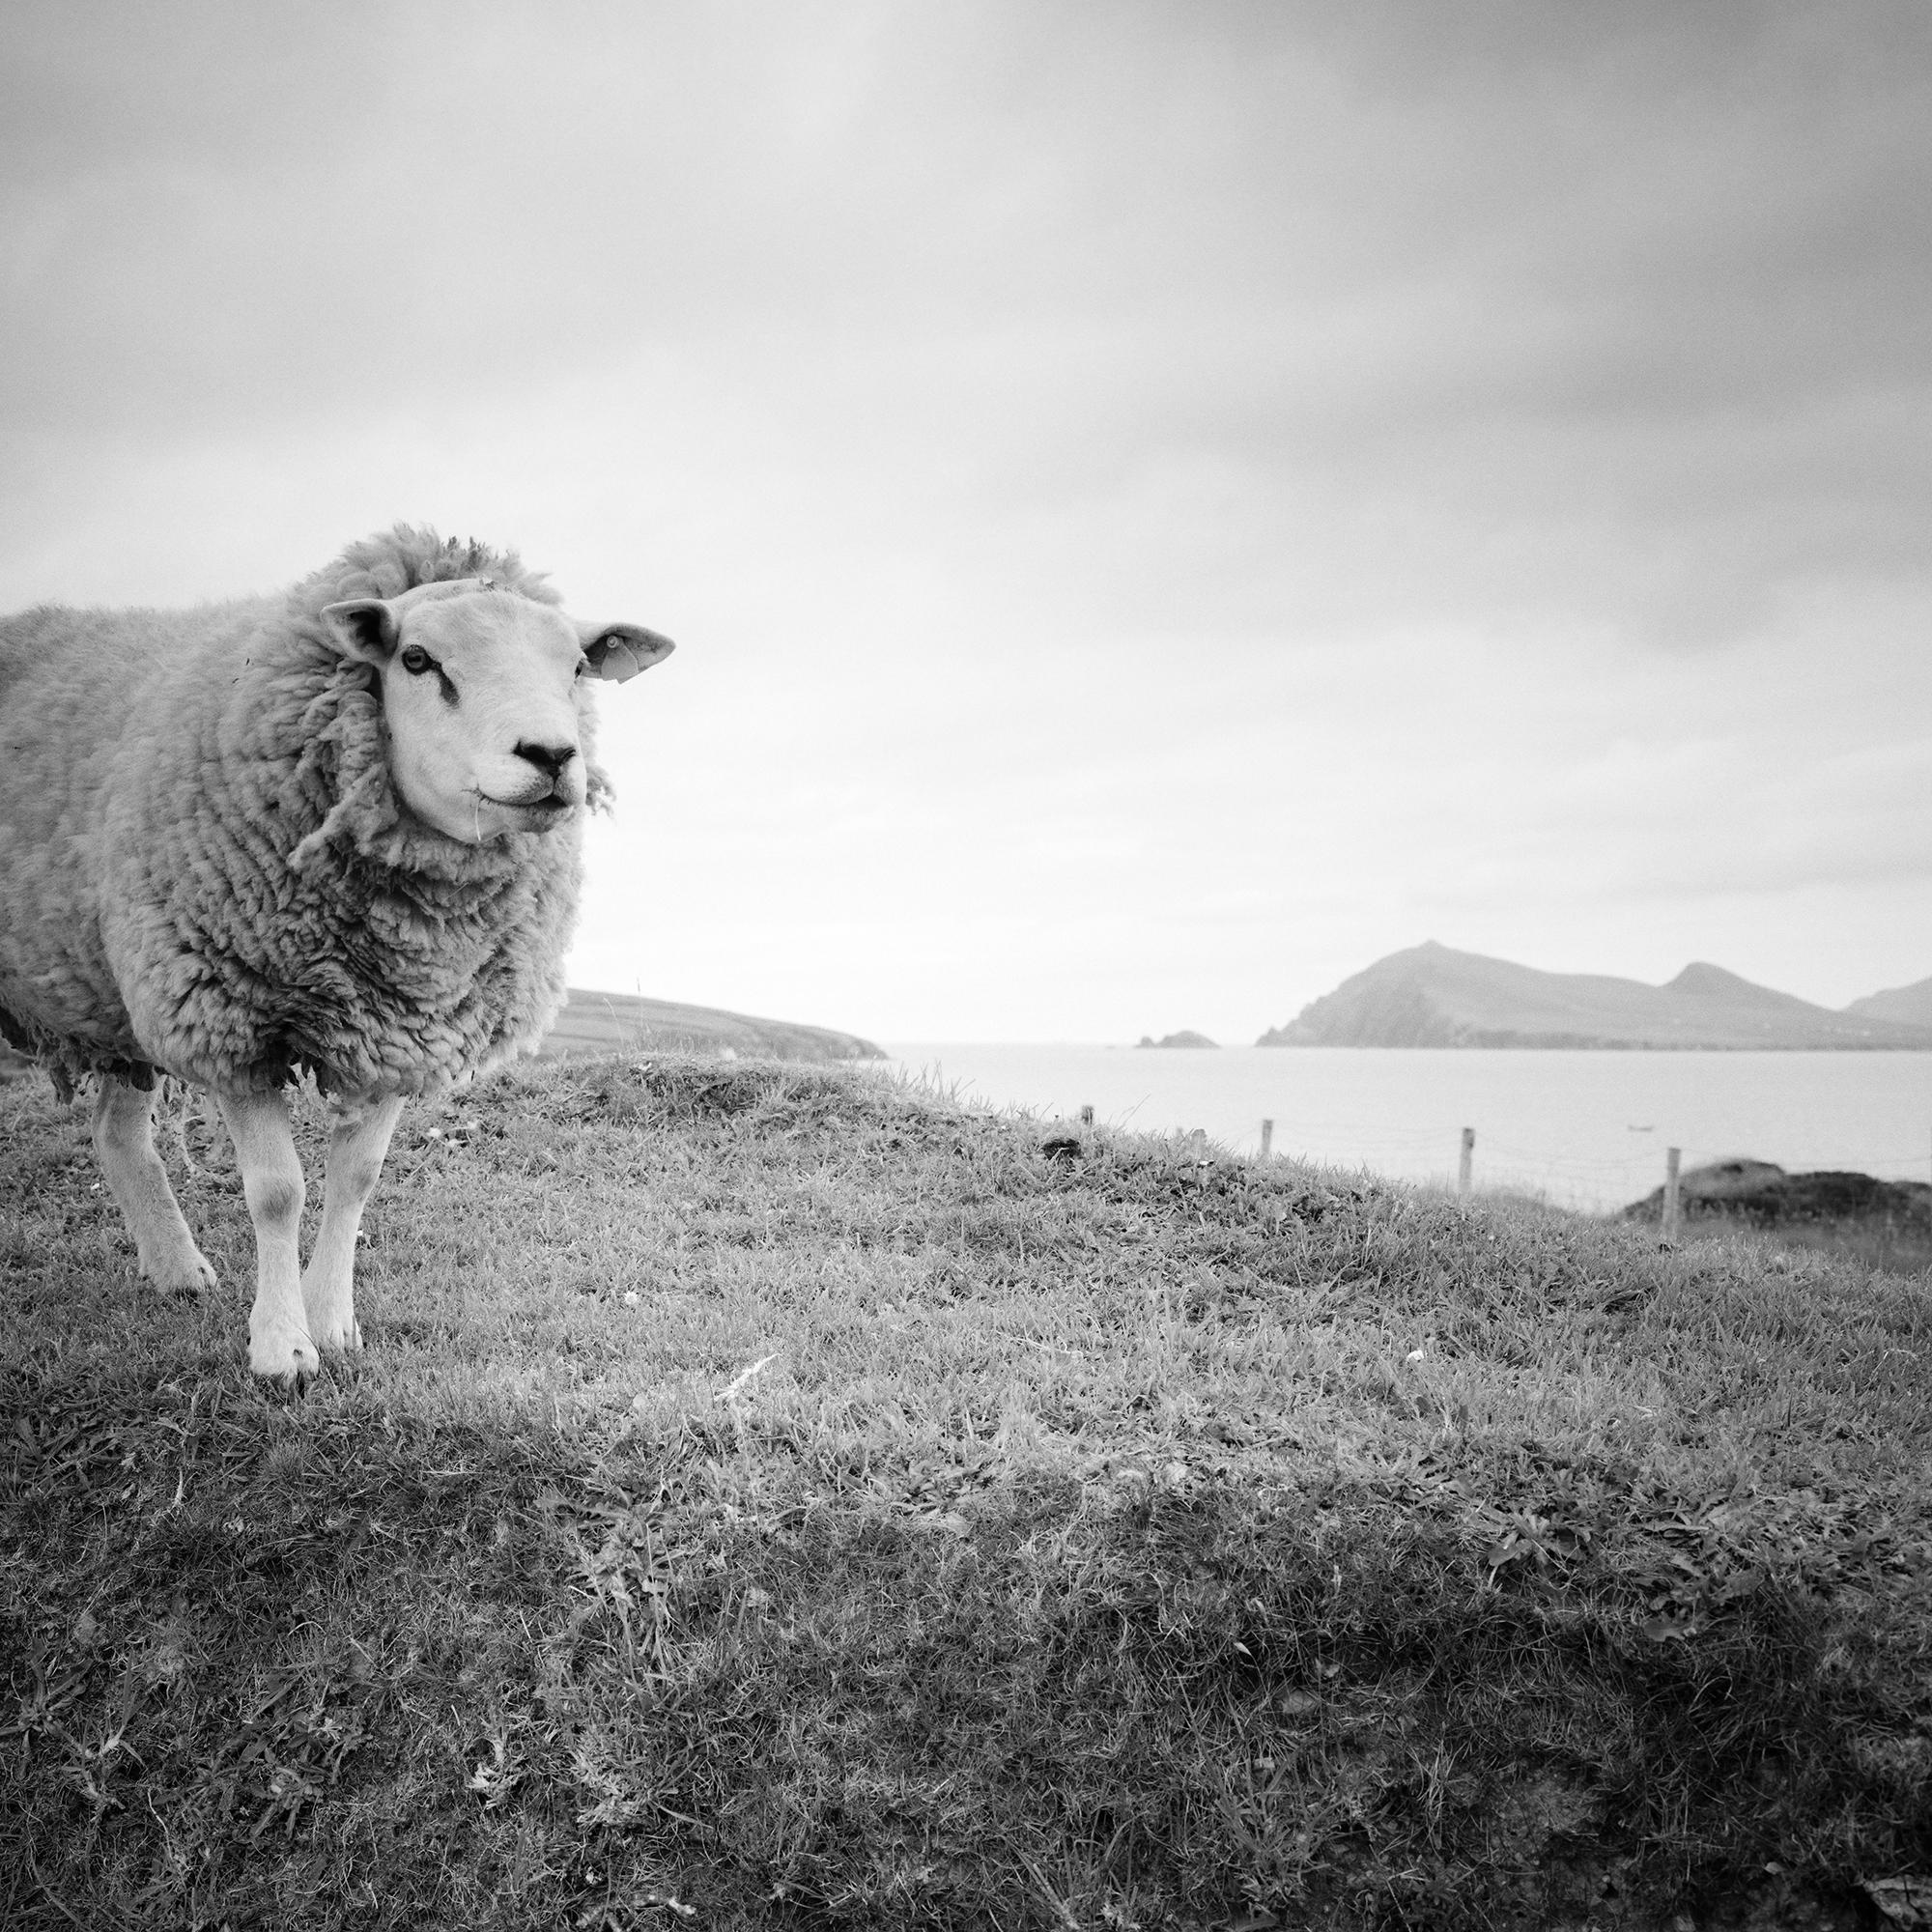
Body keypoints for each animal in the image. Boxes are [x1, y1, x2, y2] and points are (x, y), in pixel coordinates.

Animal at [0, 525, 674, 1381]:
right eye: (416, 659)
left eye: (580, 666)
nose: (552, 756)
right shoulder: (231, 1017)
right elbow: (278, 1191)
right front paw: (282, 1347)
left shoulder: (398, 1025)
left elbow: (357, 1178)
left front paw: (334, 1324)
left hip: (117, 995)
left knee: (117, 1133)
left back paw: (176, 1270)